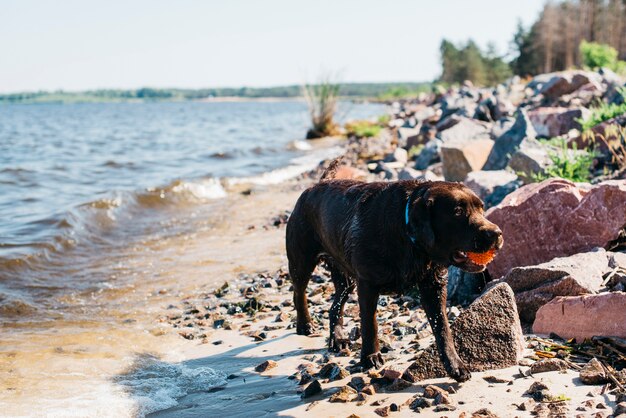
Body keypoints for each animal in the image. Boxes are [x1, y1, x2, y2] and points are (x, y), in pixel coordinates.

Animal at [286, 161, 500, 382]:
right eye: (457, 211)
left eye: (481, 208)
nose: (497, 233)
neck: (407, 235)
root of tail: (315, 185)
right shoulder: (367, 285)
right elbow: (369, 324)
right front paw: (370, 357)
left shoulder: (433, 286)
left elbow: (443, 328)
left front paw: (455, 365)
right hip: (301, 260)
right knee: (298, 292)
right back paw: (305, 324)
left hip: (345, 279)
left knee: (335, 305)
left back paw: (338, 338)